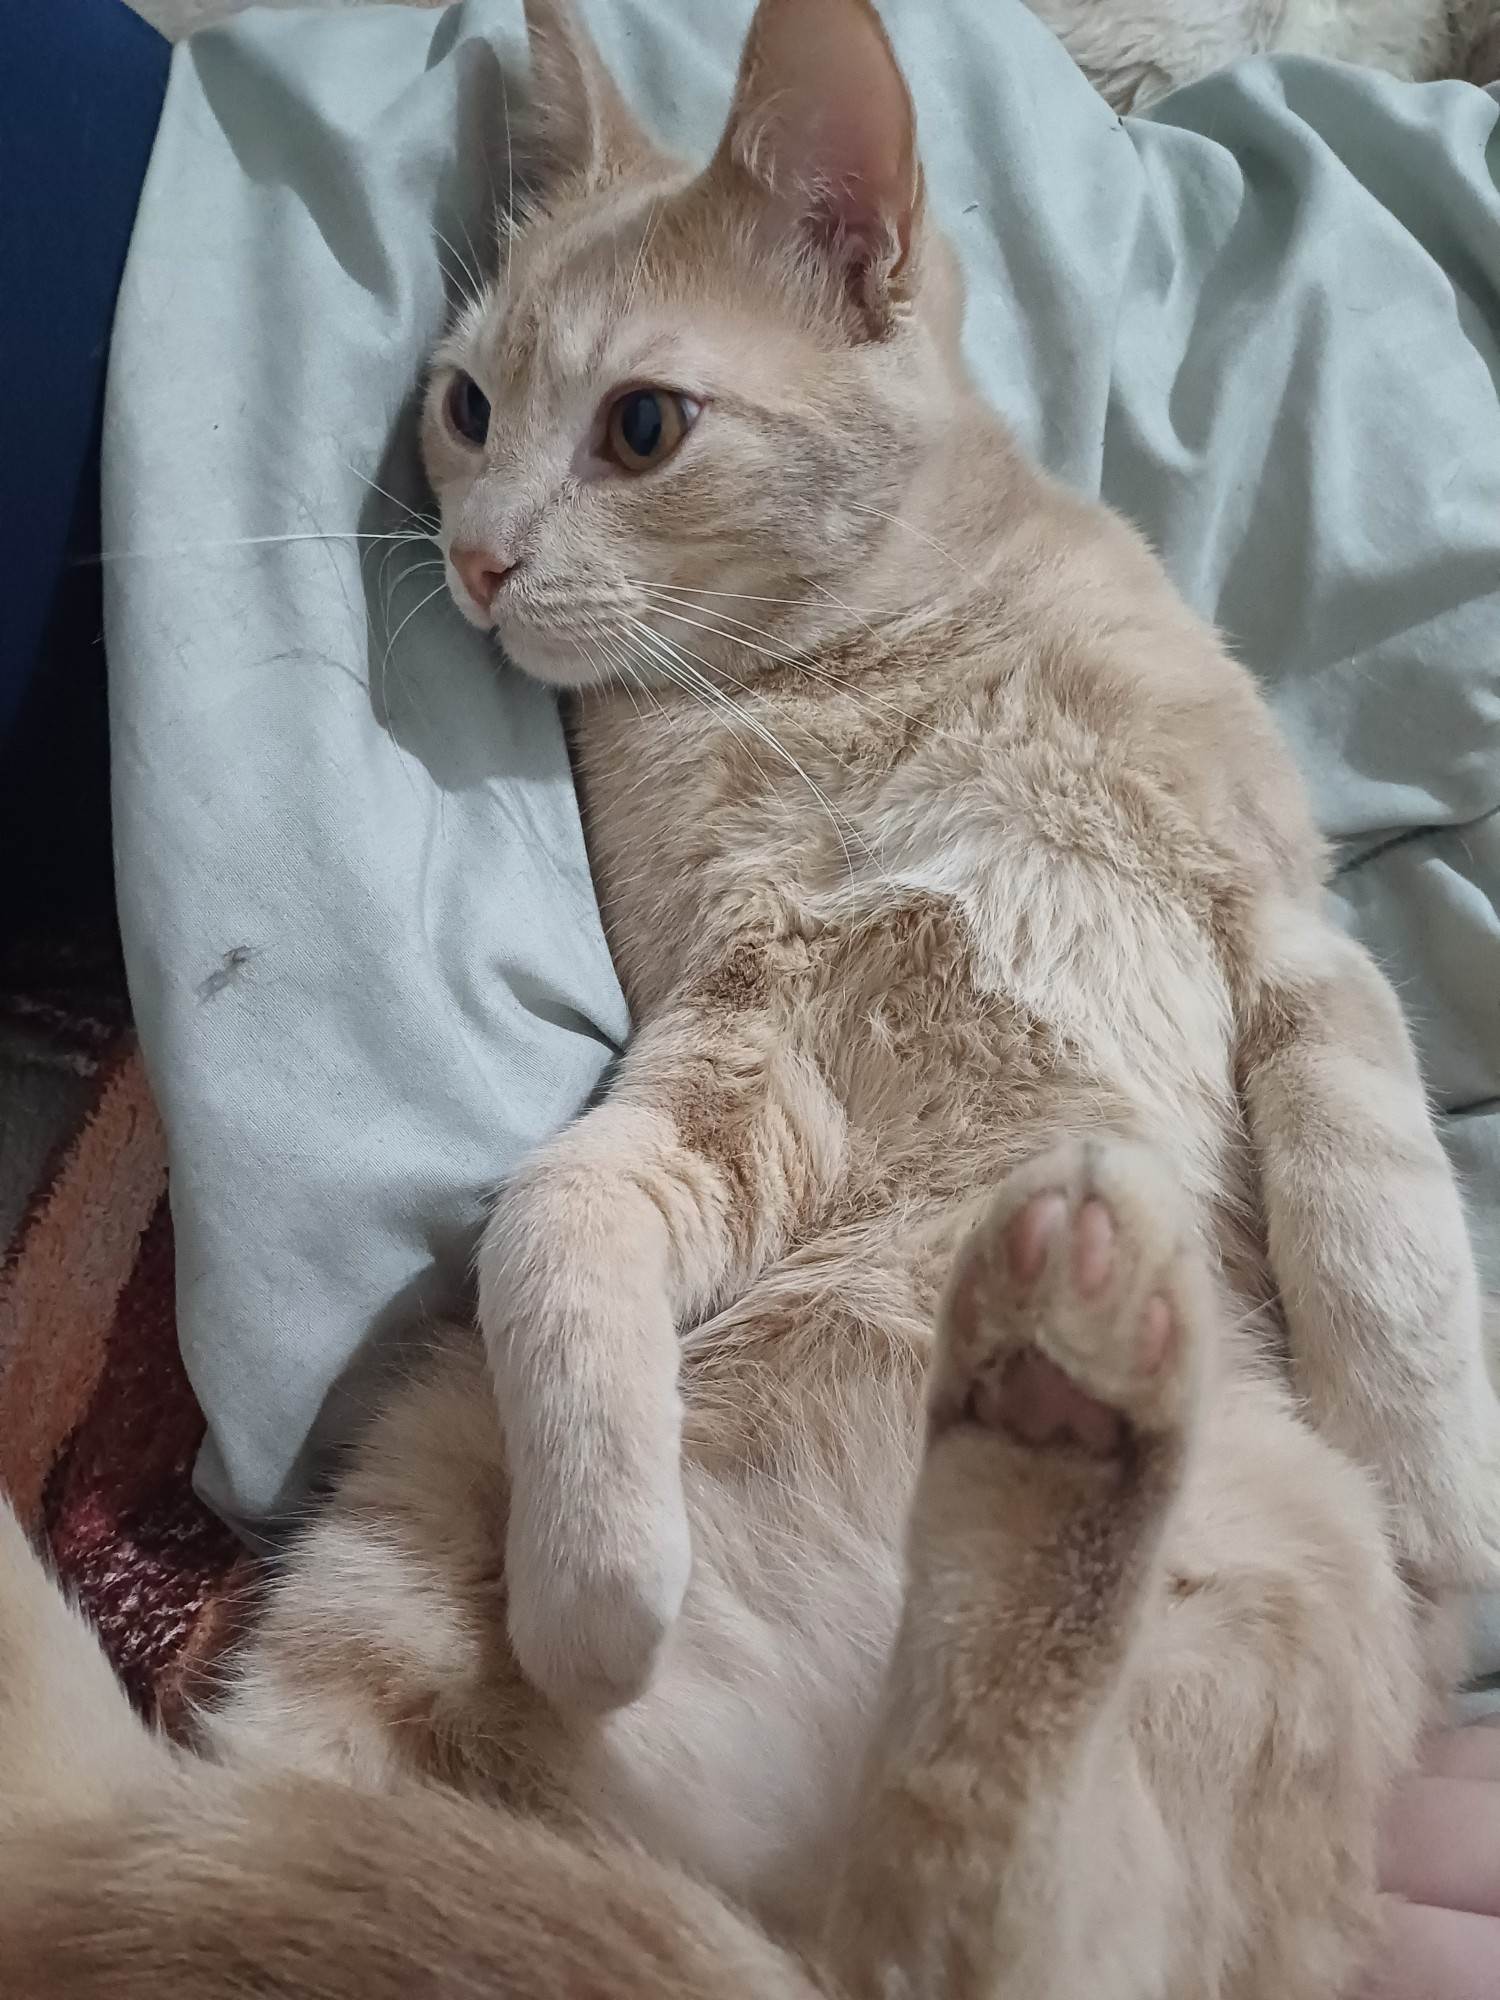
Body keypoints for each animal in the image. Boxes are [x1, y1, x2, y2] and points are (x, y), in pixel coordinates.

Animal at [2, 0, 1499, 1994]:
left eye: (642, 427)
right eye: (467, 407)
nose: (474, 555)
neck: (873, 671)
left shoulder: (1283, 932)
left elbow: (1375, 1197)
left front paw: (1441, 1493)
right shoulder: (741, 1032)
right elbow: (557, 1207)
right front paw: (597, 1591)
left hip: (1260, 1569)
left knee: (989, 1928)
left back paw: (1069, 1389)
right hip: (414, 1500)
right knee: (948, 1931)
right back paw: (1055, 1397)